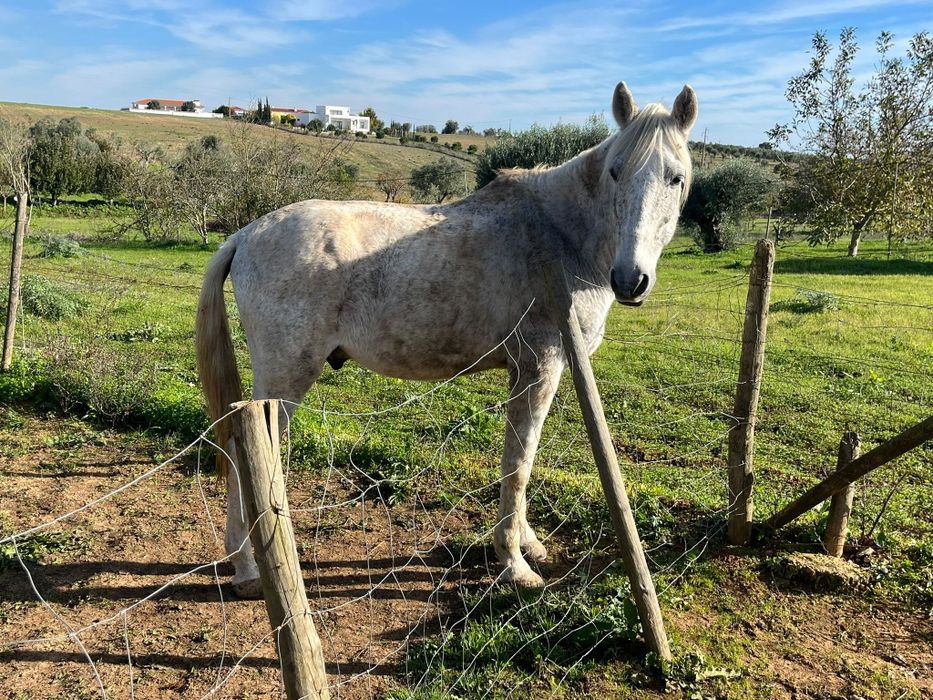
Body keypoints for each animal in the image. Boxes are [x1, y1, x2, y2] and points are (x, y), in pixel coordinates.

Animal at [196, 81, 697, 597]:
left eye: (676, 178)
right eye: (616, 172)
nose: (630, 280)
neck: (557, 237)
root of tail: (245, 234)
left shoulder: (531, 372)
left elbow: (522, 457)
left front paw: (527, 543)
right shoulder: (540, 369)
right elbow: (519, 464)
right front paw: (514, 563)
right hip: (284, 381)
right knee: (245, 456)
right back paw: (247, 568)